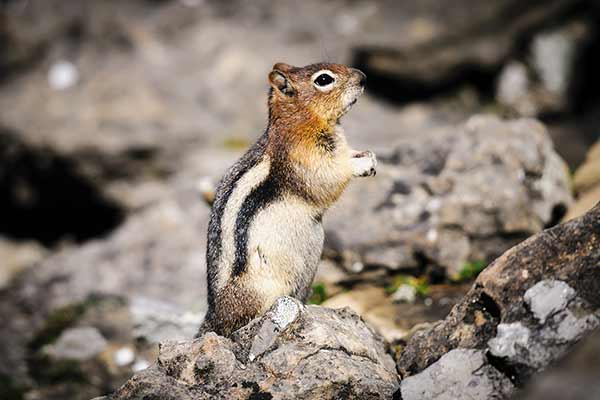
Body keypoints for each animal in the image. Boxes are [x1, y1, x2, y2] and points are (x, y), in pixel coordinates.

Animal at [199, 61, 378, 338]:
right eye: (324, 79)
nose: (363, 77)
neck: (300, 120)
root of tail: (213, 318)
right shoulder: (304, 157)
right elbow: (328, 178)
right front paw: (359, 165)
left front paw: (367, 155)